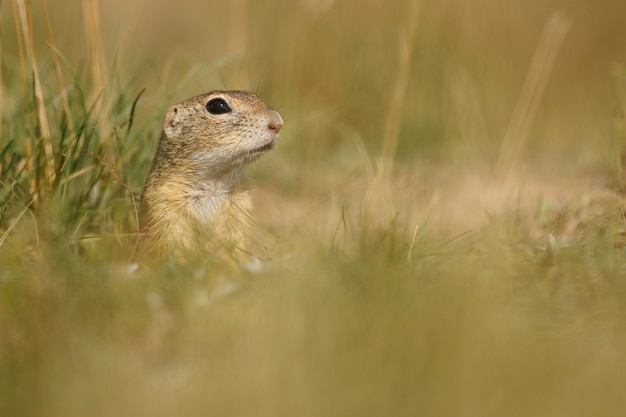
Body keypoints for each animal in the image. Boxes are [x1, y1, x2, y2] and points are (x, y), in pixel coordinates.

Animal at [141, 90, 282, 260]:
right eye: (217, 106)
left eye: (256, 97)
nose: (278, 123)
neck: (214, 183)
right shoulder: (165, 207)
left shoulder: (239, 210)